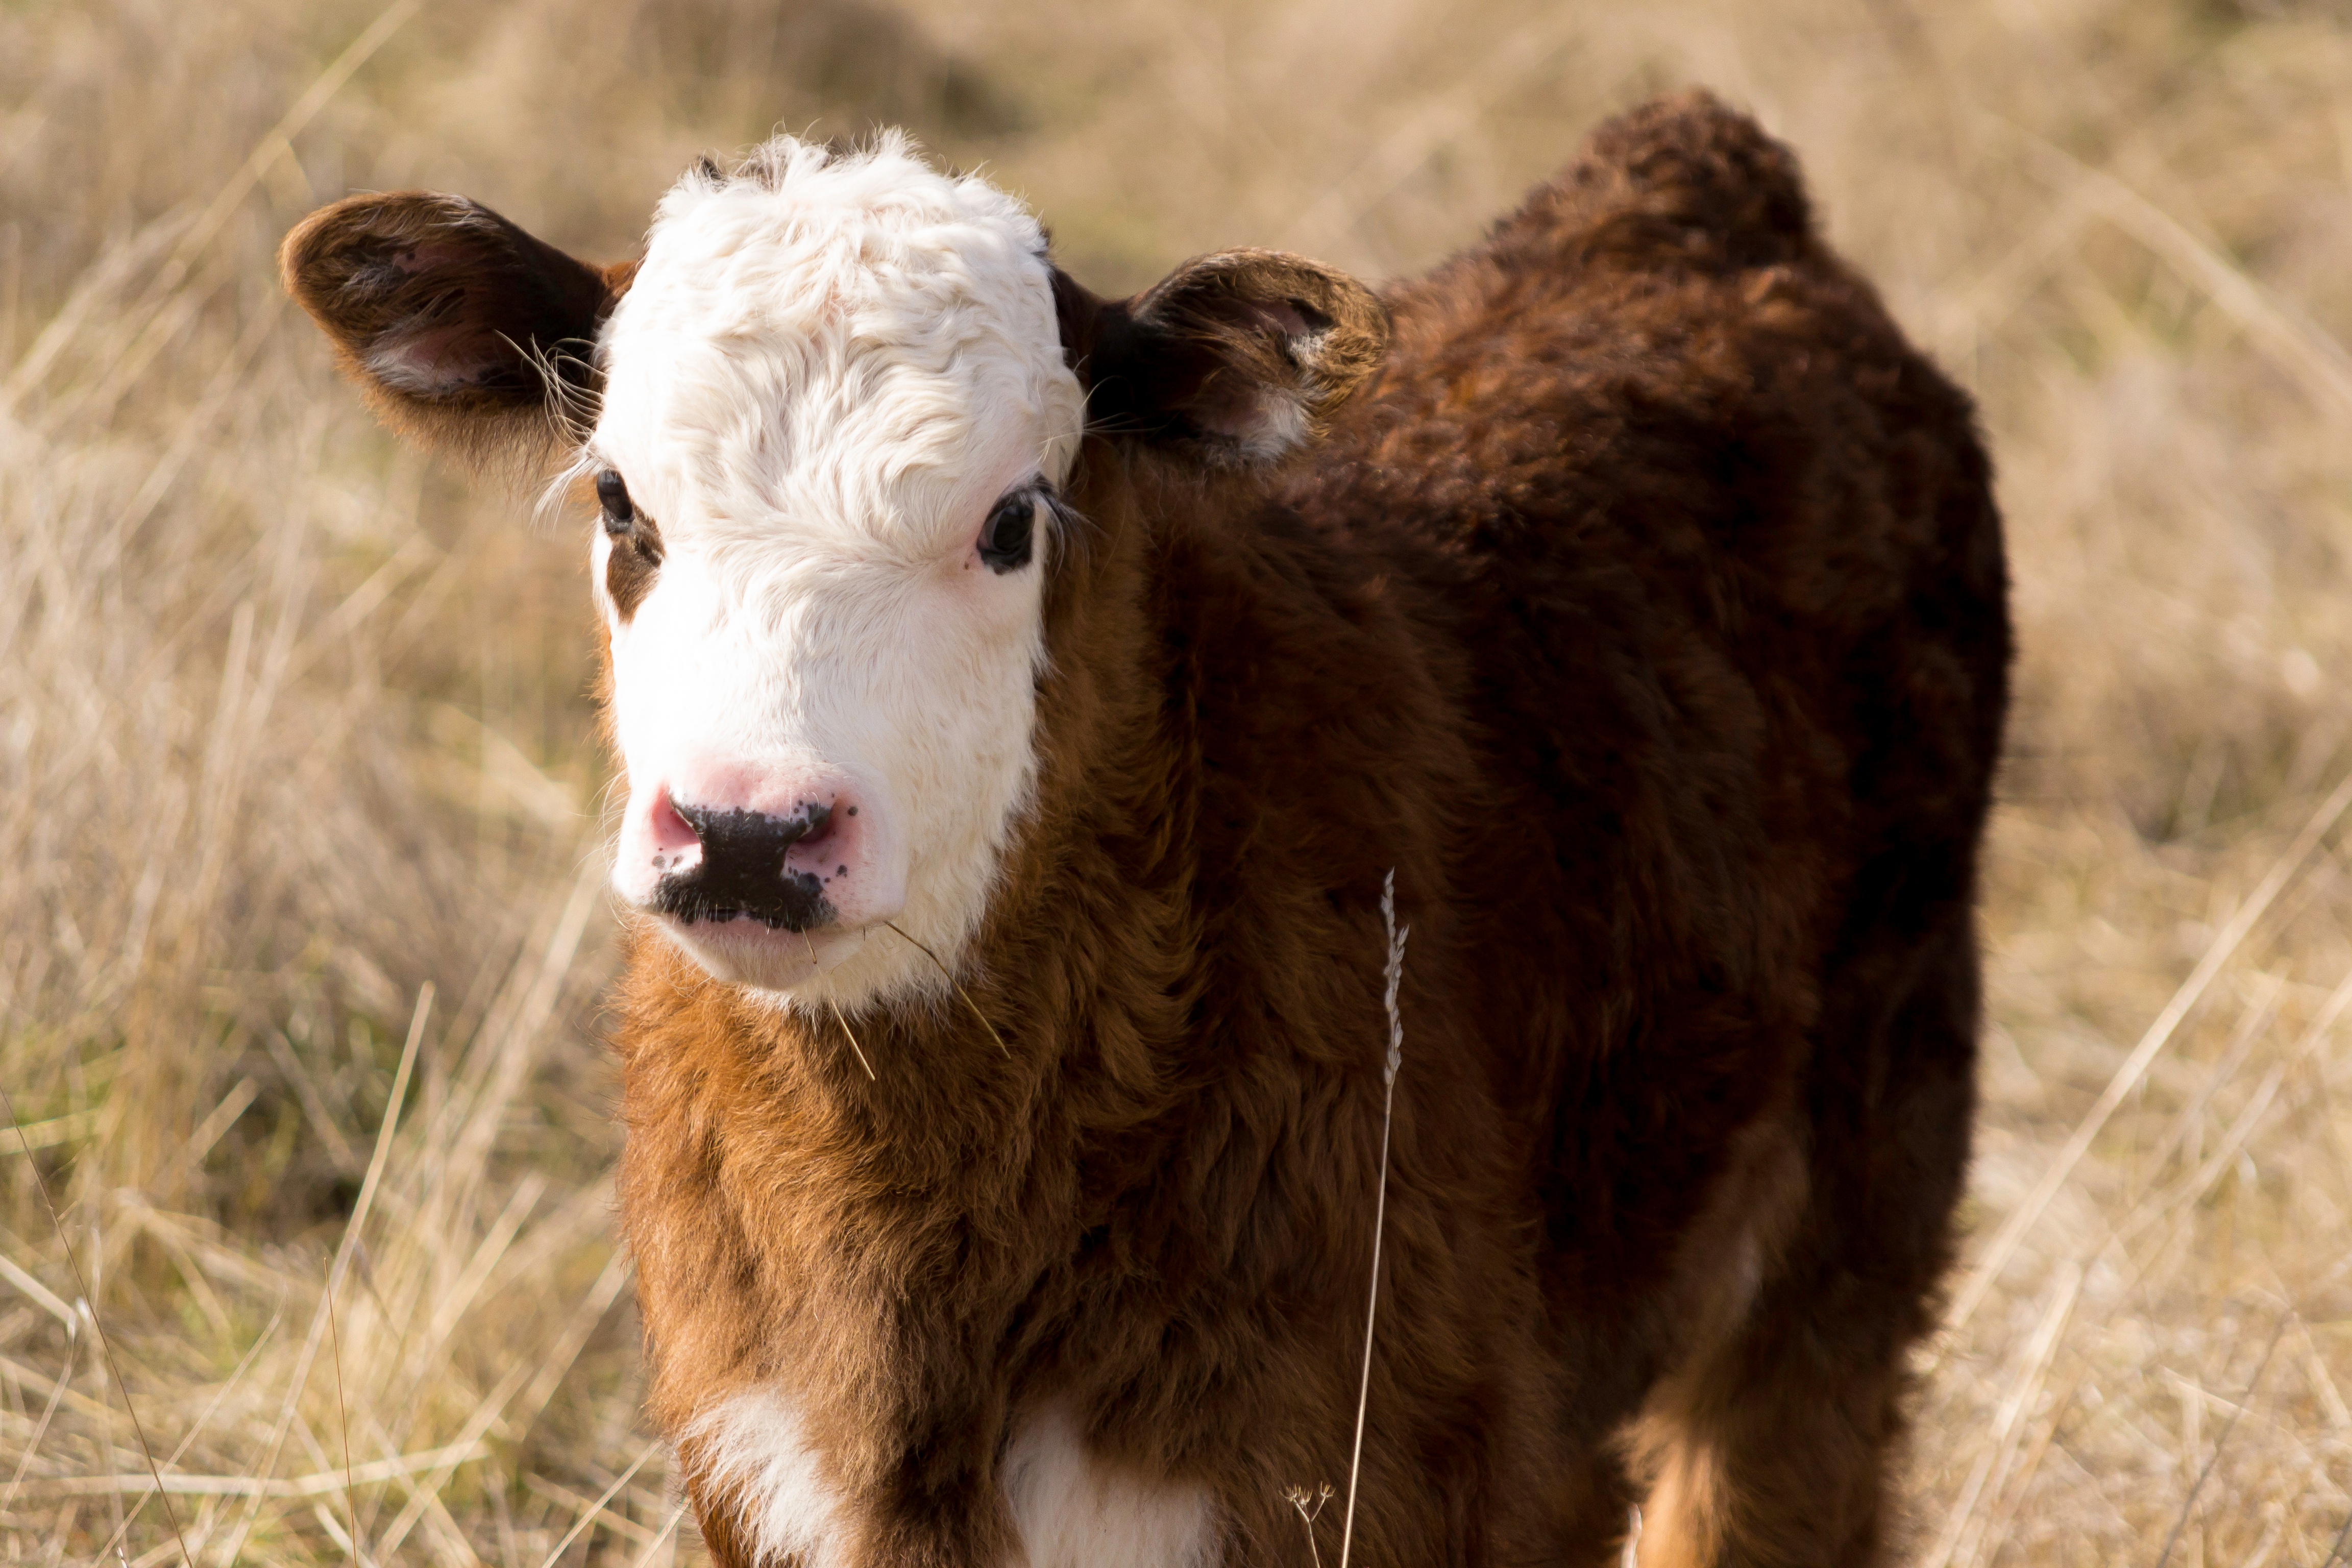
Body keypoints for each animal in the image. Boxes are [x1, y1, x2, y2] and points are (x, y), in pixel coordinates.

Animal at [283, 91, 2009, 1568]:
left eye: (1012, 521)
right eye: (620, 504)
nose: (749, 833)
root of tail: (1683, 181)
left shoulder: (1369, 1460)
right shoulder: (763, 1455)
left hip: (1860, 1189)